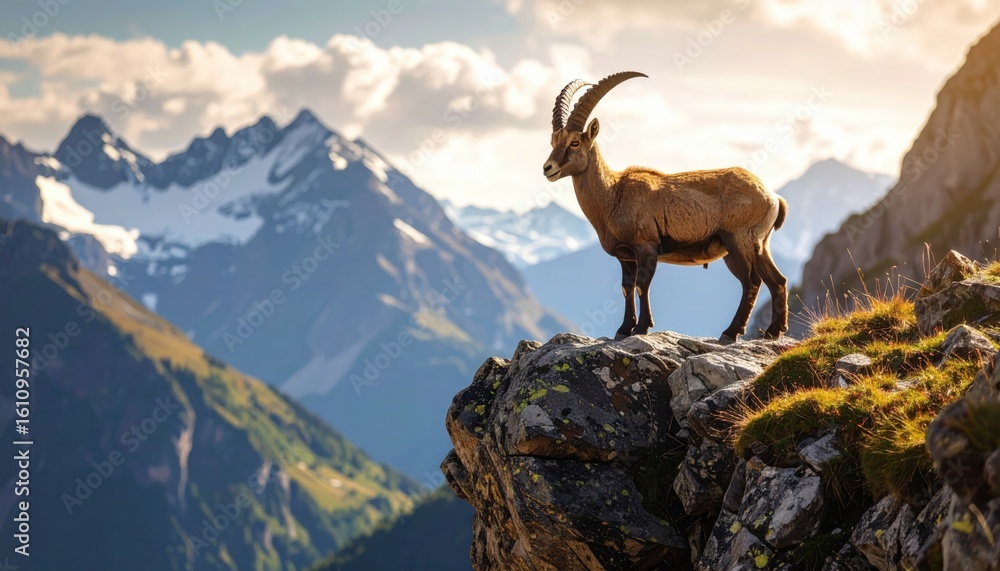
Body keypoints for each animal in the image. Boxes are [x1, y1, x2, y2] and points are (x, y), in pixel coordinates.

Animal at [542, 71, 789, 343]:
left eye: (575, 142)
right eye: (553, 141)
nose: (548, 168)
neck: (613, 195)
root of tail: (773, 197)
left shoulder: (646, 246)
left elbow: (642, 285)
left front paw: (642, 327)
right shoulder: (624, 255)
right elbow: (627, 287)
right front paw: (623, 330)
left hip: (738, 240)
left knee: (752, 282)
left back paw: (731, 332)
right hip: (759, 244)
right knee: (777, 280)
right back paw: (772, 331)